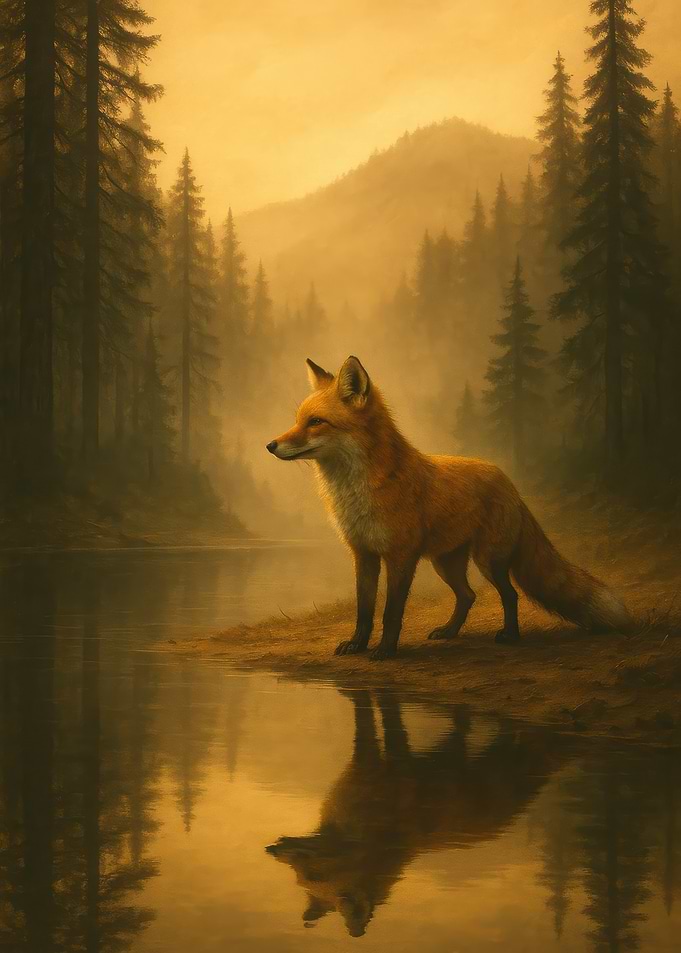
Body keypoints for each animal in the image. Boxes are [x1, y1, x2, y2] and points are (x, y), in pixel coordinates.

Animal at [266, 355, 631, 660]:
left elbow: (391, 612)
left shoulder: (401, 556)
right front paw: (357, 644)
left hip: (488, 561)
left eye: (316, 422)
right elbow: (364, 609)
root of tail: (507, 480)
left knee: (509, 595)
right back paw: (450, 632)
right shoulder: (364, 554)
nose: (270, 445)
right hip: (446, 563)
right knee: (468, 596)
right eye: (297, 420)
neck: (356, 492)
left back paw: (510, 636)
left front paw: (385, 651)